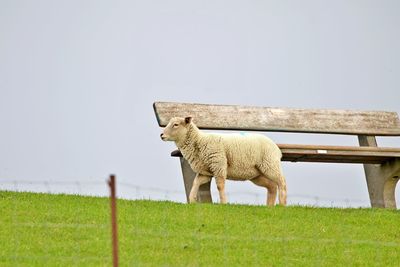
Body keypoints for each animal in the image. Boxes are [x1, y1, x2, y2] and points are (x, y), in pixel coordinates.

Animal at [160, 116, 288, 206]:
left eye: (176, 124)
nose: (161, 135)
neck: (199, 141)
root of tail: (276, 148)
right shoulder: (206, 171)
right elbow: (195, 182)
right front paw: (192, 201)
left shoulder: (219, 165)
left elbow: (220, 186)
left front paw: (223, 203)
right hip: (257, 174)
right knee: (272, 186)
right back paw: (269, 206)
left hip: (270, 164)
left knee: (282, 182)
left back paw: (282, 204)